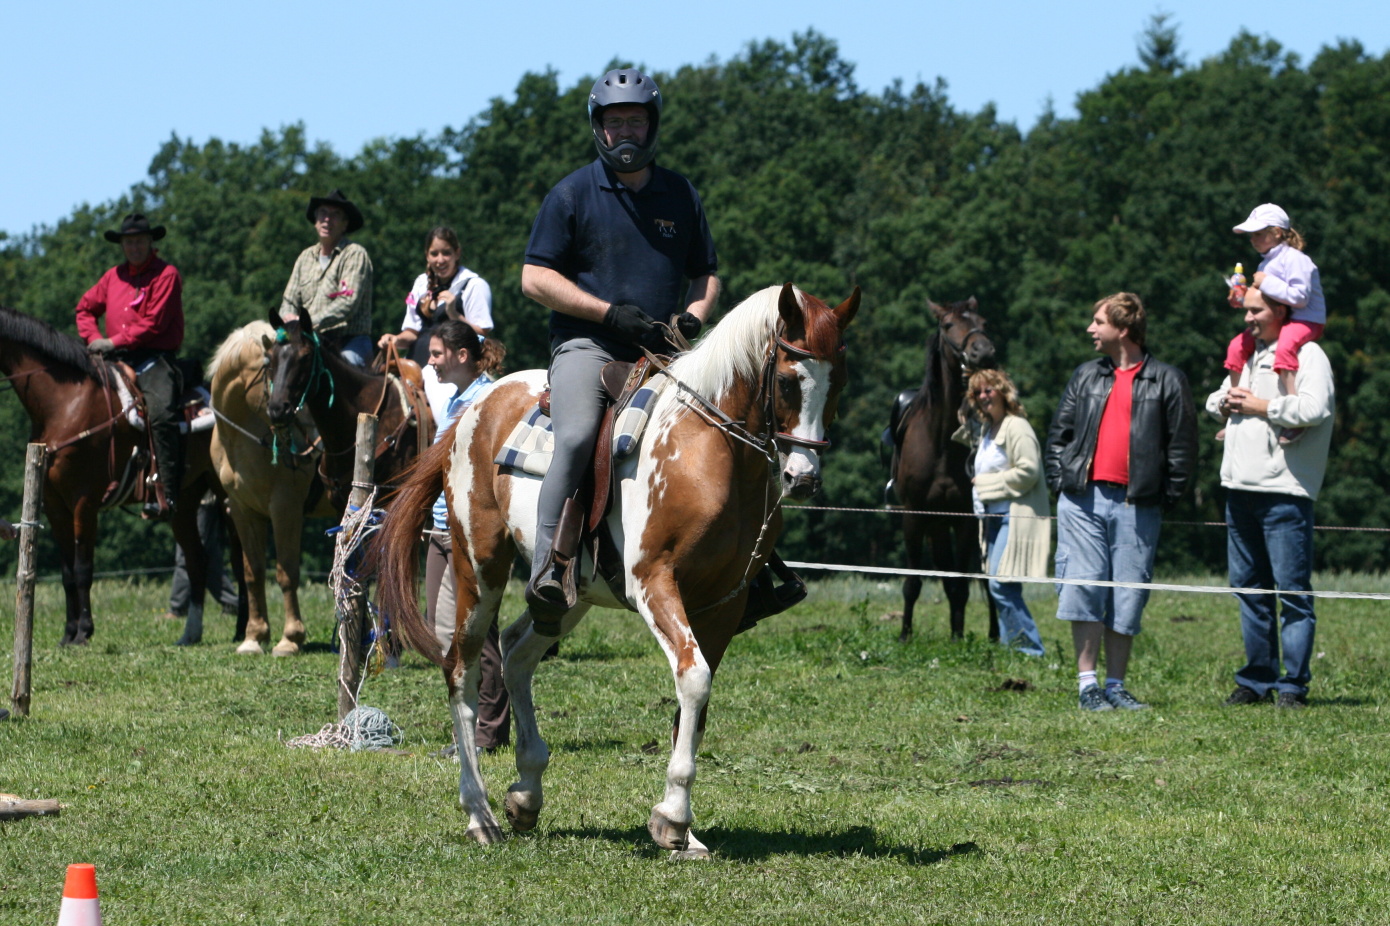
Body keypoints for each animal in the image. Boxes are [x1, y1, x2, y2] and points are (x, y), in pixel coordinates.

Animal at [0, 303, 230, 642]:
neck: (63, 405)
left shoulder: (84, 502)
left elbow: (83, 568)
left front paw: (84, 632)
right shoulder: (54, 506)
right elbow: (67, 573)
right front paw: (68, 633)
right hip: (186, 503)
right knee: (198, 560)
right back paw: (192, 634)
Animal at [205, 321, 330, 653]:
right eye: (272, 370)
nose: (315, 439)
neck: (242, 438)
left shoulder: (285, 507)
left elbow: (286, 573)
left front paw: (291, 638)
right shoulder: (242, 510)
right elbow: (253, 573)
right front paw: (254, 636)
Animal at [378, 283, 856, 856]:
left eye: (839, 383)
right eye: (787, 380)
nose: (802, 478)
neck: (707, 450)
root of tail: (475, 409)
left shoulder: (724, 603)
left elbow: (694, 702)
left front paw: (682, 830)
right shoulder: (656, 583)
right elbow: (694, 678)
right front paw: (673, 818)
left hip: (568, 595)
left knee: (517, 652)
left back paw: (526, 791)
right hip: (480, 568)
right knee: (461, 673)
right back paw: (479, 812)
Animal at [889, 298, 1000, 639]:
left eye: (983, 322)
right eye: (949, 325)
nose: (983, 351)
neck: (939, 441)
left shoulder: (965, 519)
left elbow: (961, 584)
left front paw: (958, 637)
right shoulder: (914, 516)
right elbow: (913, 582)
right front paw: (905, 635)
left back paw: (994, 634)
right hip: (935, 526)